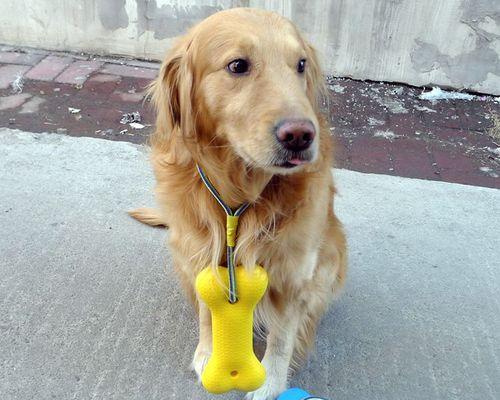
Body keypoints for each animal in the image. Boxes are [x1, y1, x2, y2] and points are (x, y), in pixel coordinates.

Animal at [131, 7, 346, 400]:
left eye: (301, 64)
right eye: (237, 66)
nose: (301, 136)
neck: (239, 197)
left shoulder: (293, 272)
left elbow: (282, 338)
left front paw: (270, 385)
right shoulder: (199, 255)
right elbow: (206, 311)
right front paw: (208, 354)